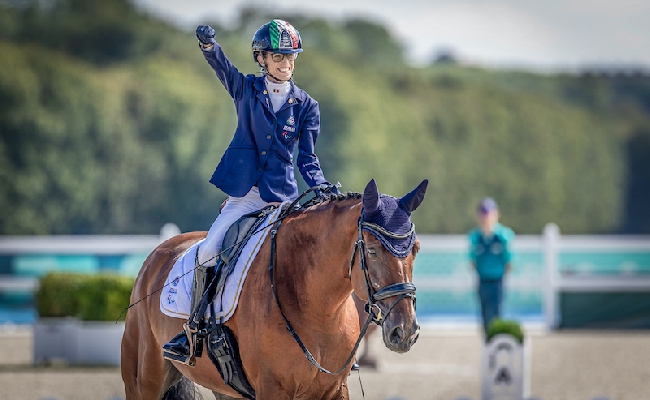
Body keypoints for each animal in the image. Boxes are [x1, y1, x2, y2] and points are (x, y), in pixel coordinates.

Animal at [120, 179, 426, 400]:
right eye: (372, 251)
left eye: (415, 249)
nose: (405, 332)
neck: (318, 309)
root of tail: (158, 252)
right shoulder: (272, 389)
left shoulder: (335, 390)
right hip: (143, 382)